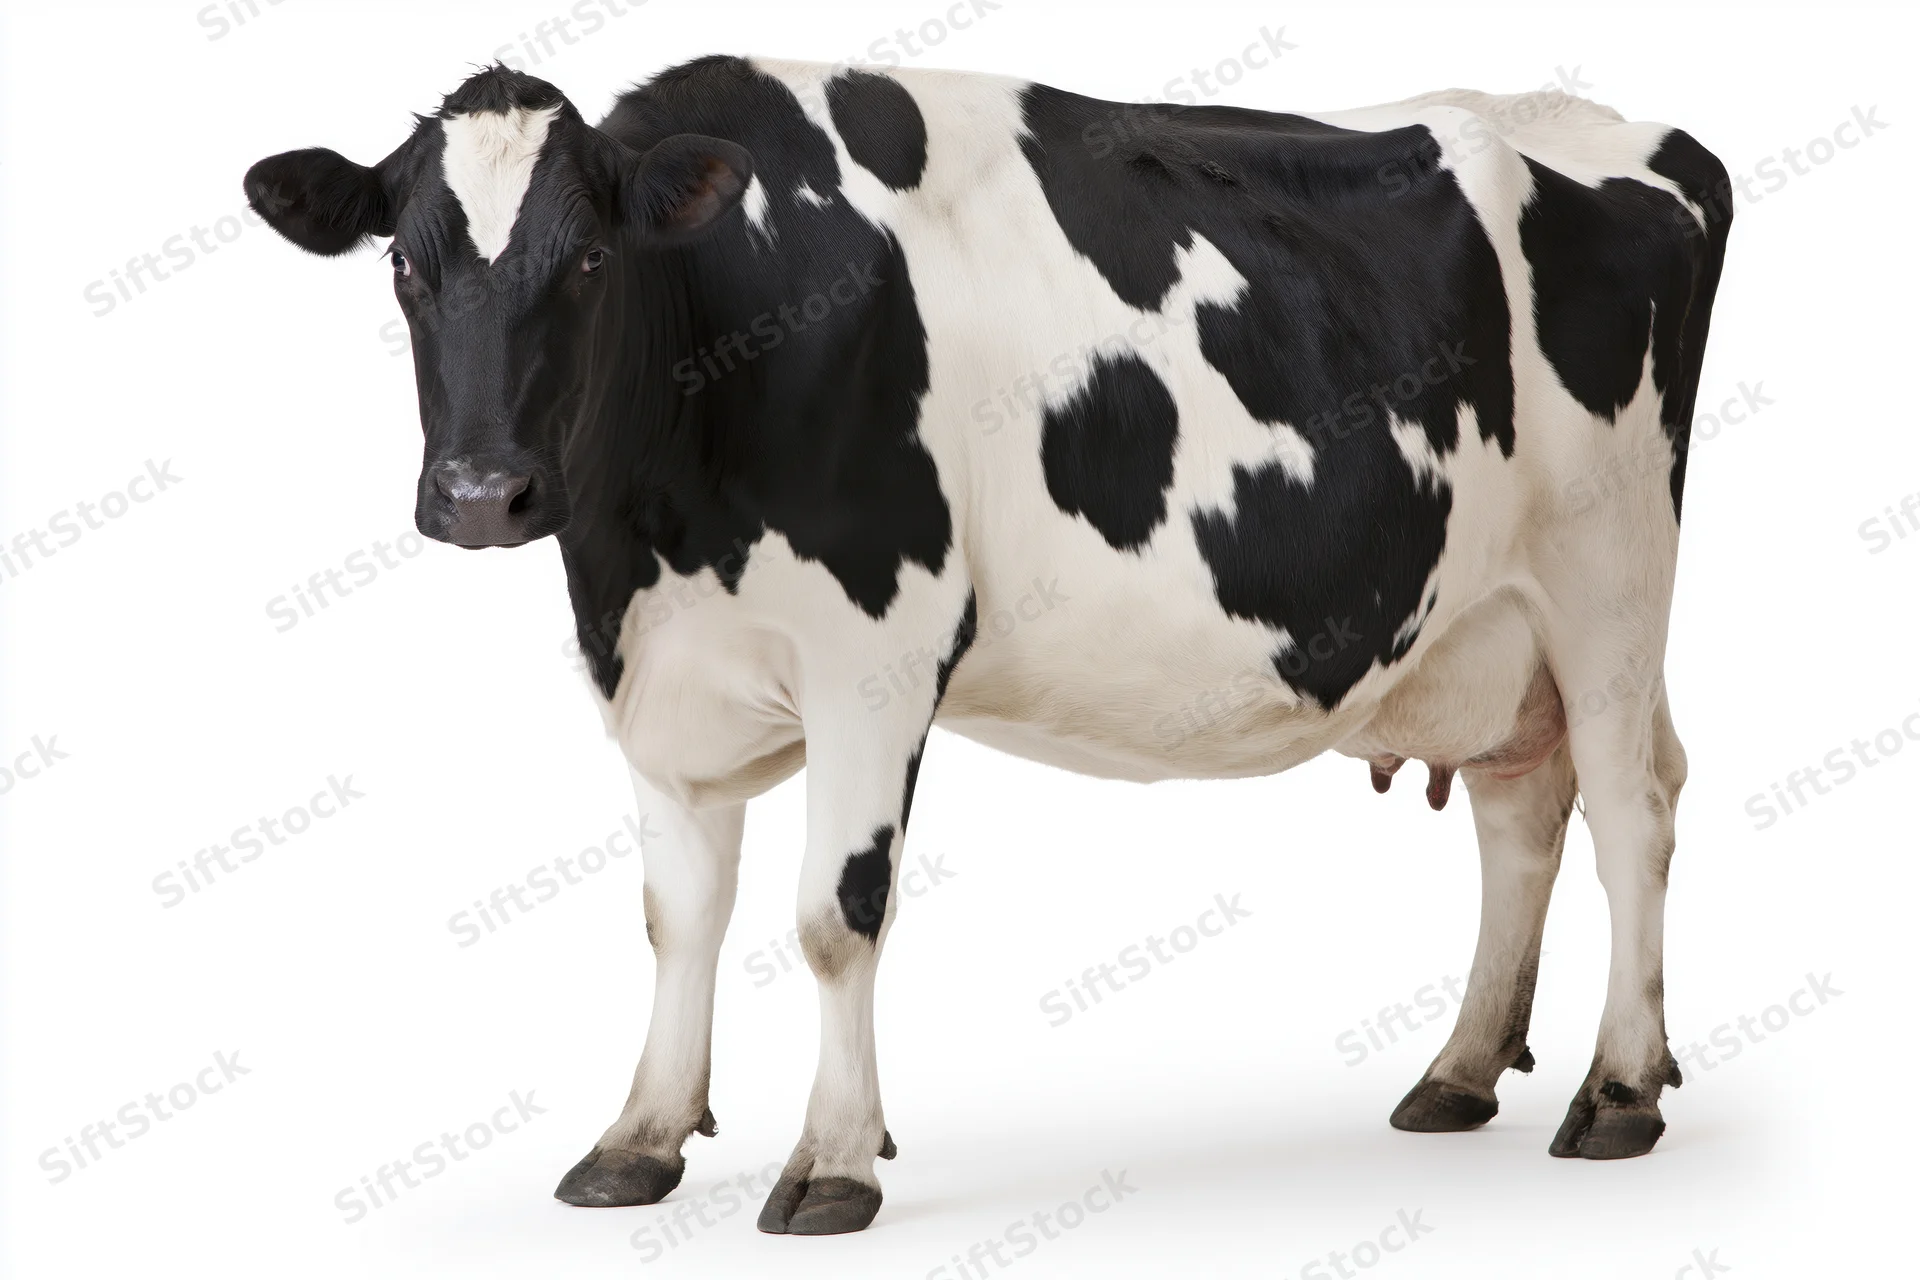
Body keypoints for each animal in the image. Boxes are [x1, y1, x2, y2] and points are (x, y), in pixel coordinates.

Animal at [245, 55, 1732, 1235]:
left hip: (1609, 581)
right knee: (1522, 812)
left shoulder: (875, 655)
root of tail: (1622, 129)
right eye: (404, 264)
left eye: (593, 260)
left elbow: (831, 915)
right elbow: (678, 916)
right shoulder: (657, 670)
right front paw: (639, 1138)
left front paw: (834, 1161)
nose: (481, 493)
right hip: (1492, 627)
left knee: (1634, 810)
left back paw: (1617, 1090)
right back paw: (1462, 1071)